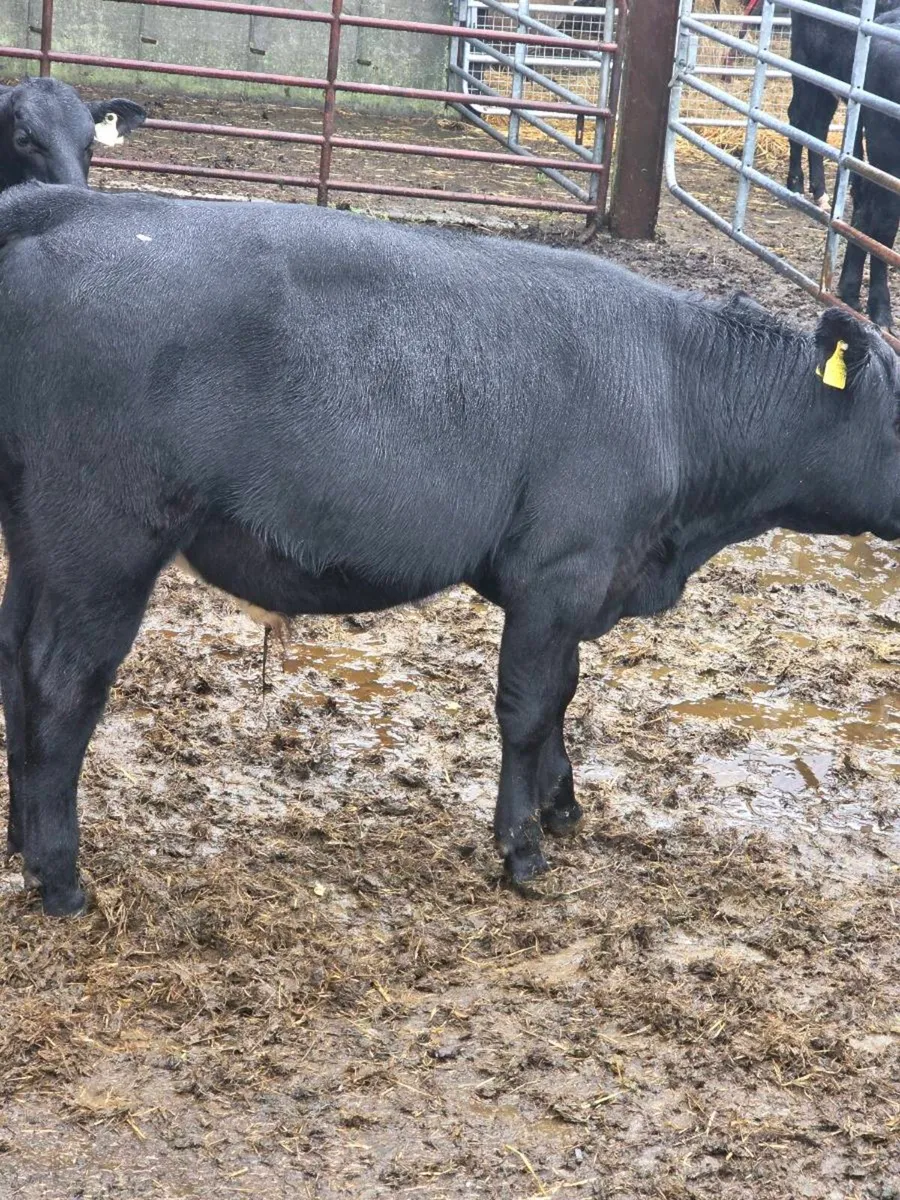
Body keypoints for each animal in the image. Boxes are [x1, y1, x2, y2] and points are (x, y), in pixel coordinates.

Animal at [1, 185, 899, 917]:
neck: (677, 393)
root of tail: (69, 205)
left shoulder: (574, 585)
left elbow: (564, 695)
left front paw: (562, 807)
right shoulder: (559, 571)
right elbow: (528, 707)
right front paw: (521, 848)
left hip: (37, 541)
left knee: (15, 662)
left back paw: (18, 840)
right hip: (104, 543)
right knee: (63, 683)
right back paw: (60, 878)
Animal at [786, 0, 900, 208]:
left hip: (828, 85)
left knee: (818, 127)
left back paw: (820, 192)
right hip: (805, 67)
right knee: (798, 119)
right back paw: (796, 185)